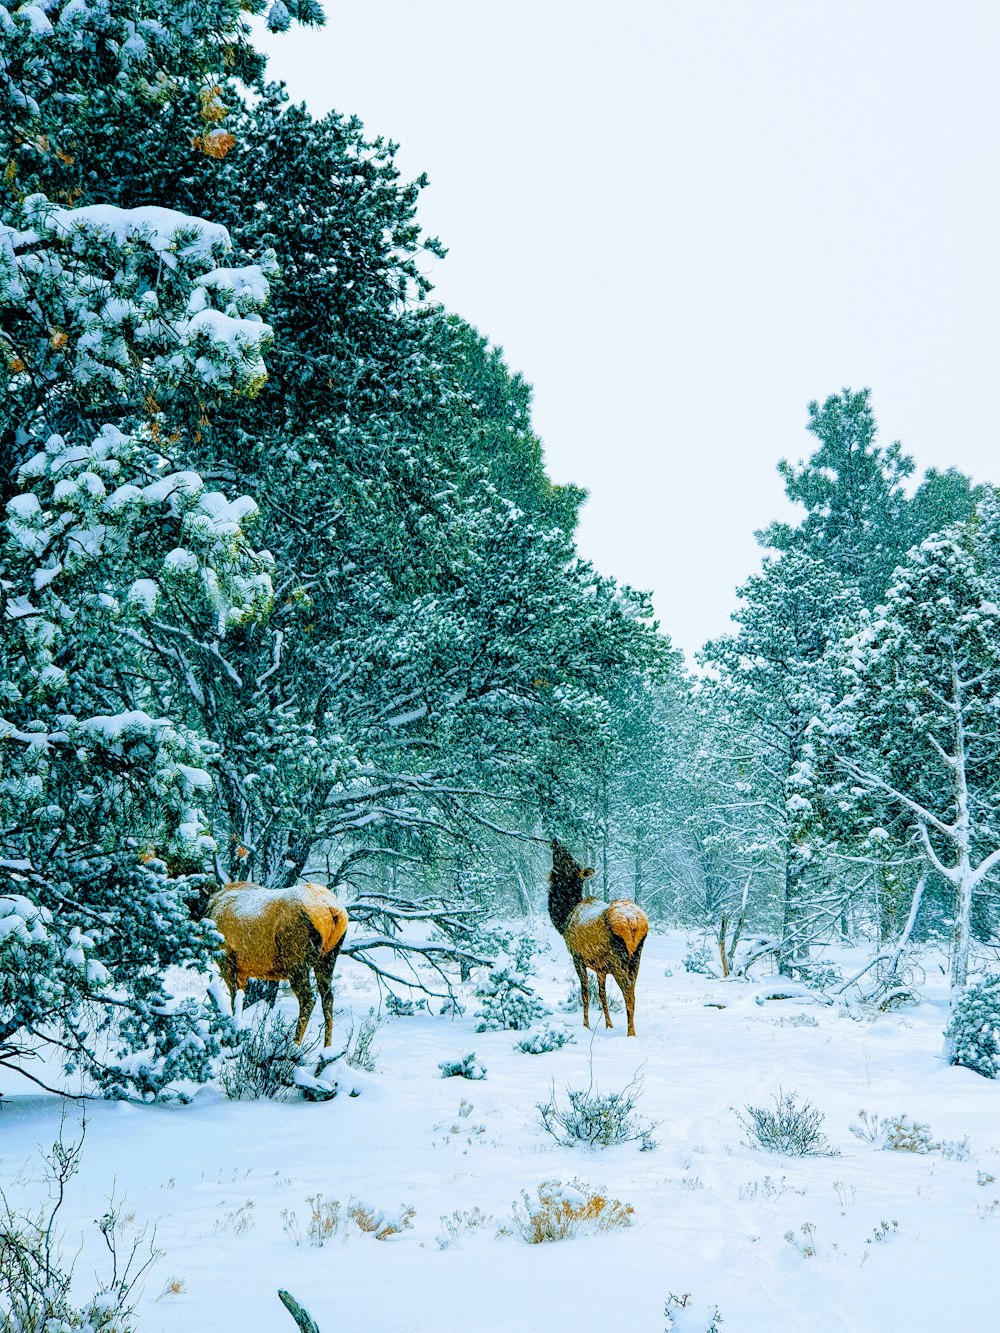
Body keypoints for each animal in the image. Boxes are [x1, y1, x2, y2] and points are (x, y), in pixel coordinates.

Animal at [205, 879, 349, 1045]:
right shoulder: (242, 971)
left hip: (296, 960)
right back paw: (327, 1047)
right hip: (328, 958)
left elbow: (234, 1000)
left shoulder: (227, 960)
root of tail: (332, 909)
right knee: (328, 998)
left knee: (308, 999)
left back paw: (294, 1044)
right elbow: (240, 1000)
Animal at [549, 837, 650, 1034]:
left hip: (619, 959)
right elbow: (602, 994)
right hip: (636, 957)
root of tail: (633, 921)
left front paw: (586, 1026)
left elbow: (585, 992)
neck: (564, 920)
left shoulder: (577, 957)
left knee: (628, 993)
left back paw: (630, 1033)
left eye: (568, 859)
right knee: (633, 991)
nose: (556, 840)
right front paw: (608, 1025)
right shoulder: (601, 967)